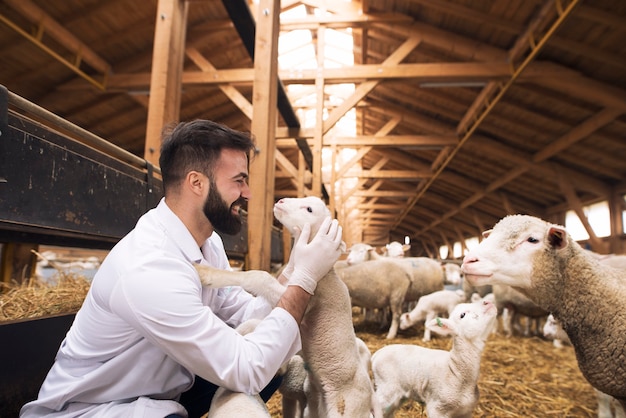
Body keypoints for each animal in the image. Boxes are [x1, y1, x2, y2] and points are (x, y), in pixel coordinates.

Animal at [195, 196, 380, 418]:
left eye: (309, 209)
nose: (281, 200)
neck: (322, 274)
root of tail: (370, 397)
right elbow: (254, 318)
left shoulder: (307, 299)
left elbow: (260, 276)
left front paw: (204, 273)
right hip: (316, 404)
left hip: (348, 408)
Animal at [370, 300, 498, 418]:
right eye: (462, 315)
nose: (487, 302)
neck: (455, 370)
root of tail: (377, 353)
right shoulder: (437, 408)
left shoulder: (465, 412)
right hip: (387, 387)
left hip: (398, 395)